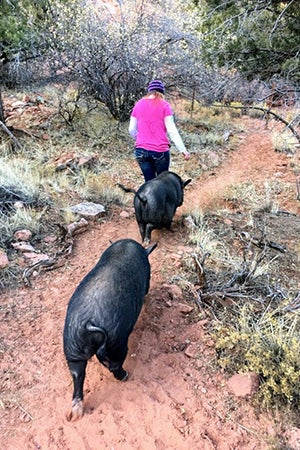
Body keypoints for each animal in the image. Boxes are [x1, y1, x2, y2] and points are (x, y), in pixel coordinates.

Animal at [63, 237, 157, 420]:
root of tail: (88, 322)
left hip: (72, 347)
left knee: (77, 374)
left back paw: (75, 414)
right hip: (117, 340)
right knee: (114, 364)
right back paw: (125, 376)